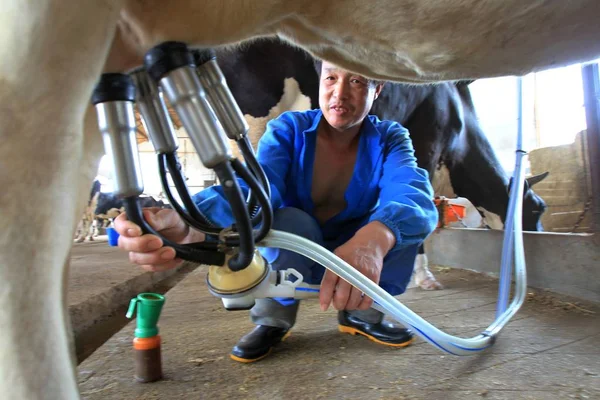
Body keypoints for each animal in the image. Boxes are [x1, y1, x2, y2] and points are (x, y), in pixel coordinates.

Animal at [2, 1, 596, 398]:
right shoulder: (427, 140)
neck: (462, 121)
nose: (529, 245)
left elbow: (402, 205)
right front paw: (429, 278)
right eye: (538, 210)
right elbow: (423, 208)